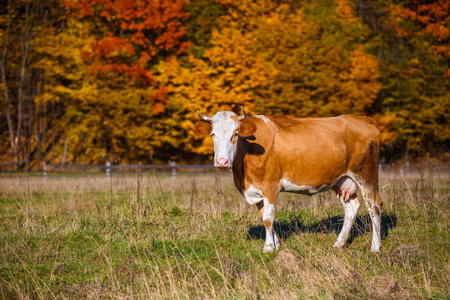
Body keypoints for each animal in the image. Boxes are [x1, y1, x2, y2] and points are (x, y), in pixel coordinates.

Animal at [194, 106, 384, 252]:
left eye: (235, 134)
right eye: (213, 134)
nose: (222, 161)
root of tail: (363, 119)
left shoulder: (270, 186)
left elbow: (268, 218)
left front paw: (268, 247)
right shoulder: (256, 190)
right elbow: (264, 217)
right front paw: (277, 244)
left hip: (366, 175)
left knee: (374, 207)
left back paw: (375, 248)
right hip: (341, 179)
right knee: (351, 208)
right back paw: (339, 244)